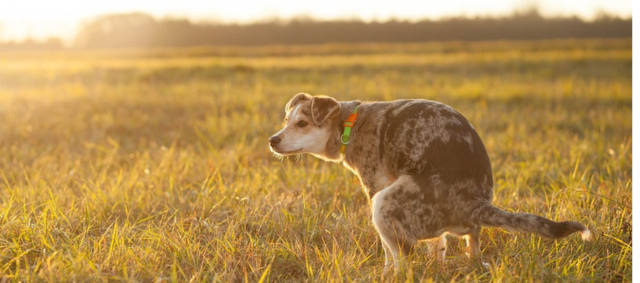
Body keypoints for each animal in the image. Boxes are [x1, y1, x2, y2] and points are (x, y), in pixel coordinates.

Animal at [266, 93, 592, 270]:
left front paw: (385, 272)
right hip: (459, 229)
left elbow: (388, 252)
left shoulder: (375, 187)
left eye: (302, 123)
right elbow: (438, 245)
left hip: (384, 203)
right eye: (286, 121)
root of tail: (475, 203)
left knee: (405, 260)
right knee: (469, 245)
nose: (272, 140)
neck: (349, 124)